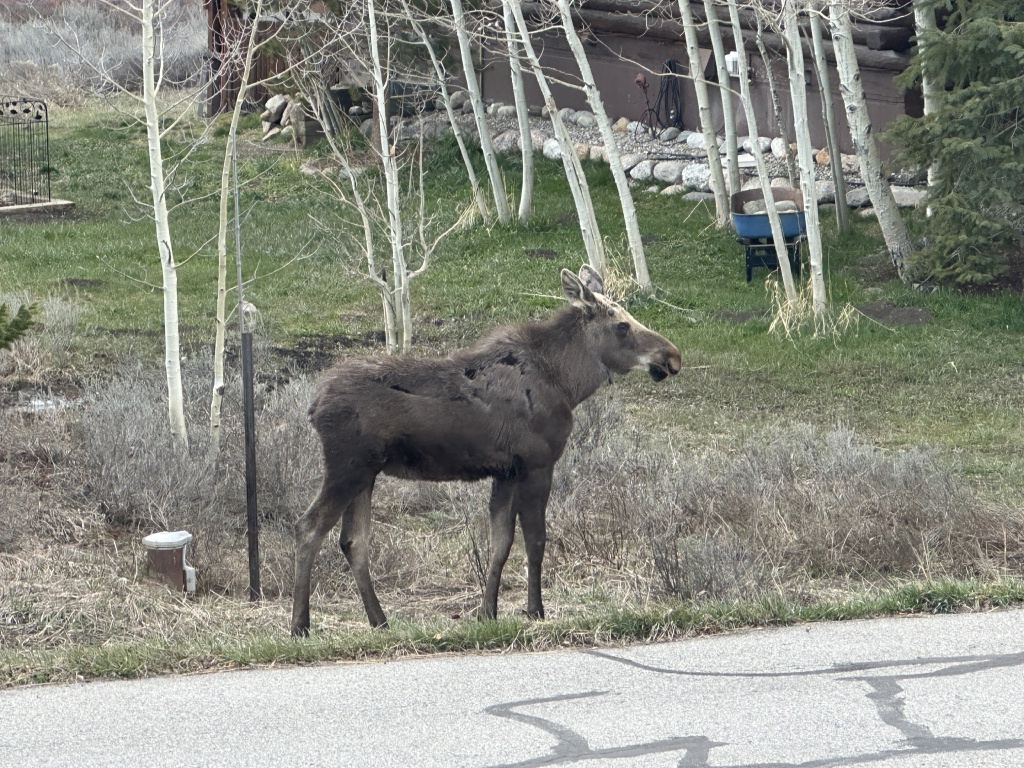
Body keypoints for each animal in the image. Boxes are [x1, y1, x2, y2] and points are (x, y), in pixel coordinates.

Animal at [291, 265, 682, 635]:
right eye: (621, 325)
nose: (672, 356)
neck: (566, 383)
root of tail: (313, 405)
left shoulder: (505, 471)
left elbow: (501, 543)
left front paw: (487, 612)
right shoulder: (537, 463)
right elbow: (535, 541)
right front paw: (535, 611)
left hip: (366, 472)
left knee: (353, 541)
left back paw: (380, 621)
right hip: (347, 466)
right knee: (308, 526)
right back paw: (300, 625)